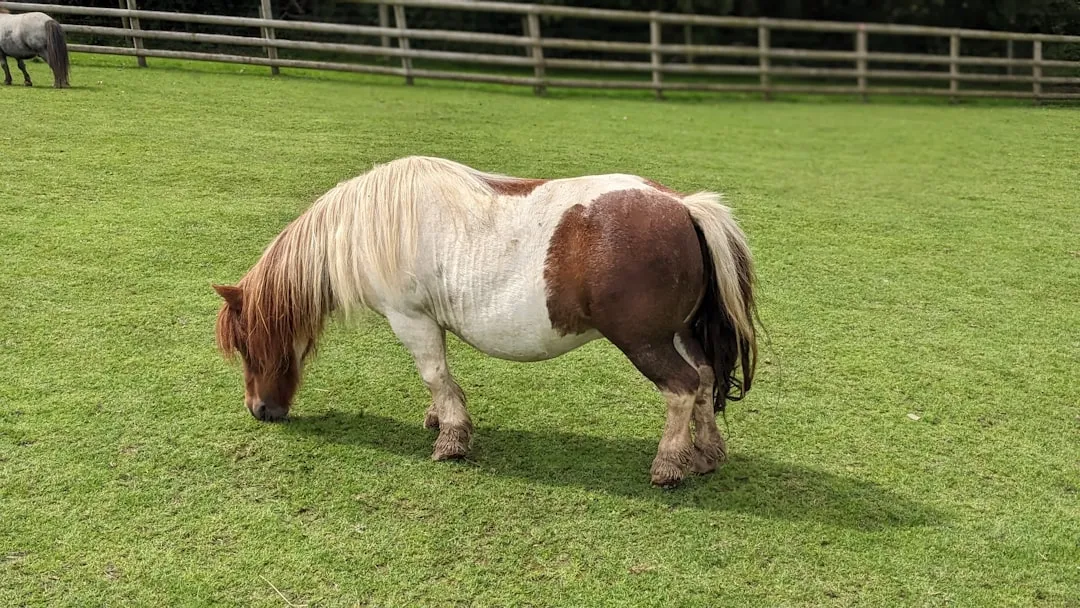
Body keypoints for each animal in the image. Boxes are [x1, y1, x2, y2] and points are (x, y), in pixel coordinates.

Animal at [212, 156, 758, 487]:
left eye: (248, 345)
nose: (260, 411)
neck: (369, 224)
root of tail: (682, 206)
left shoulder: (411, 319)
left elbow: (434, 374)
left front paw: (452, 438)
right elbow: (440, 380)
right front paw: (439, 418)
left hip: (645, 342)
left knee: (683, 387)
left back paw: (668, 464)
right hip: (677, 333)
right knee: (705, 378)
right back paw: (705, 455)